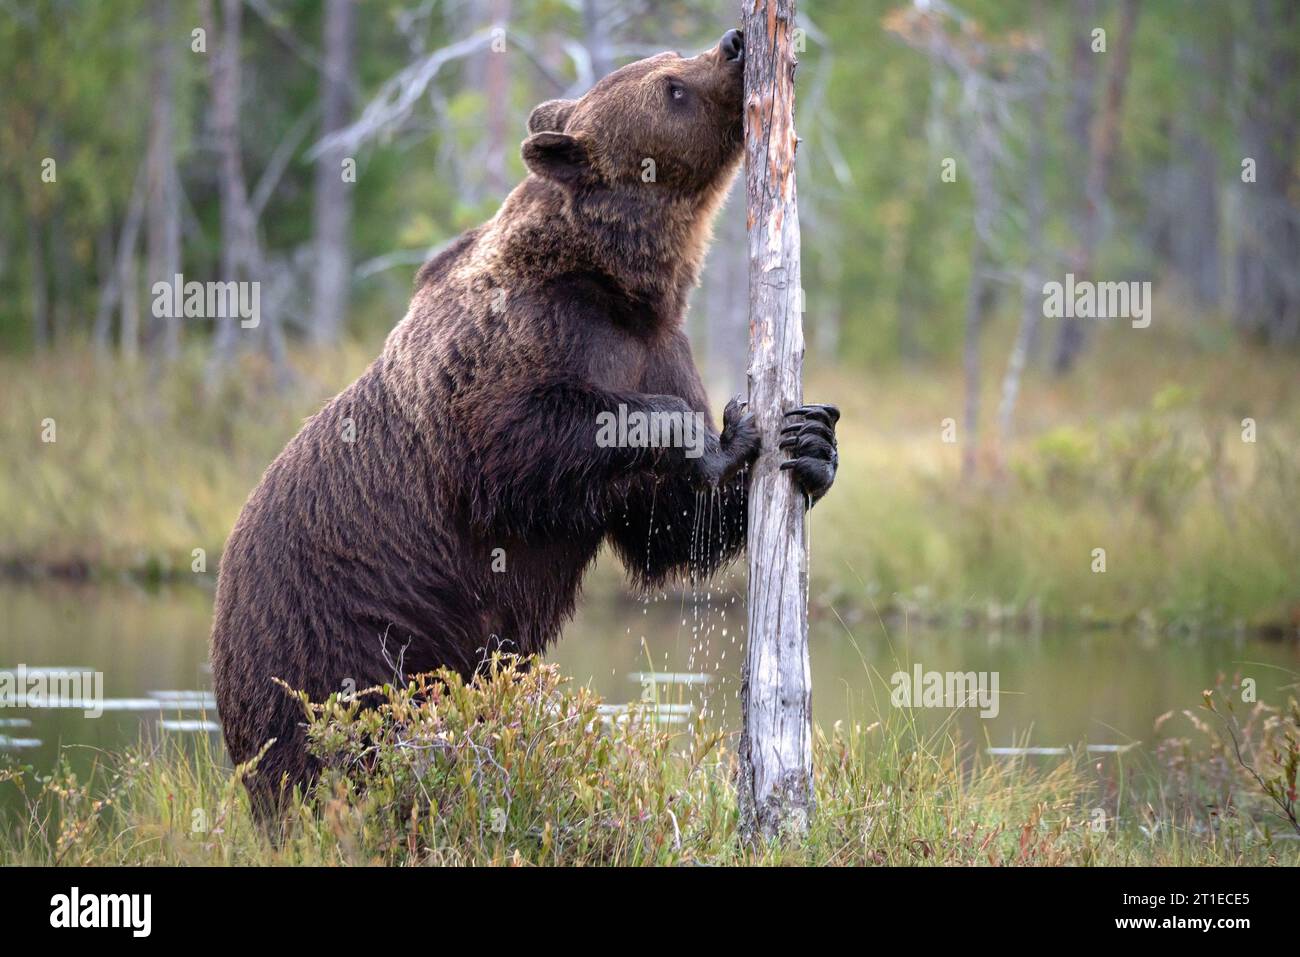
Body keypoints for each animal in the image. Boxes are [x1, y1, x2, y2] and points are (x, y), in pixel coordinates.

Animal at [210, 29, 842, 816]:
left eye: (674, 58)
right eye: (670, 86)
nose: (731, 44)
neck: (622, 285)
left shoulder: (656, 348)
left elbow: (665, 527)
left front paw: (803, 440)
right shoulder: (511, 349)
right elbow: (520, 439)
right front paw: (703, 438)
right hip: (329, 639)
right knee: (327, 747)